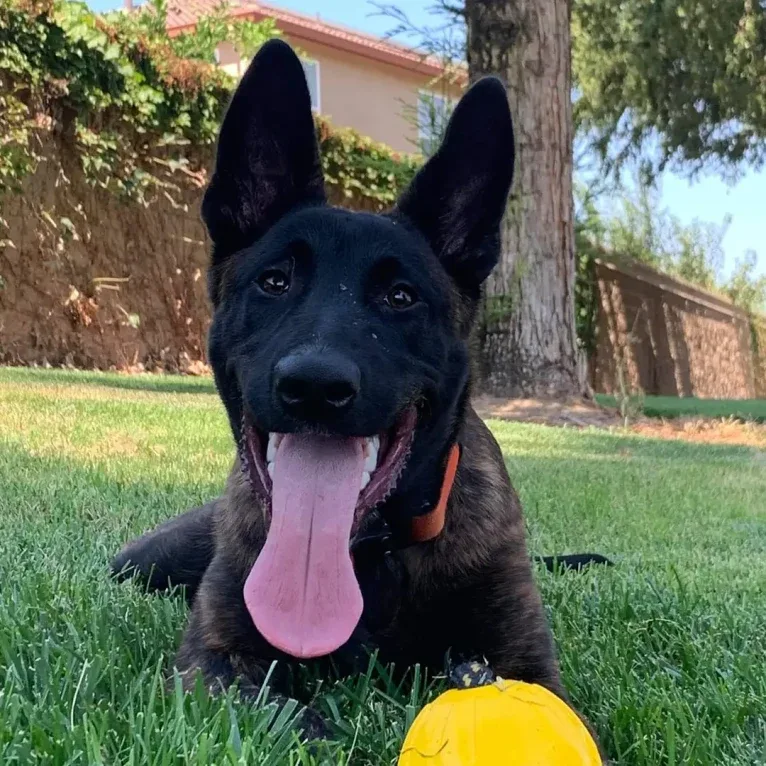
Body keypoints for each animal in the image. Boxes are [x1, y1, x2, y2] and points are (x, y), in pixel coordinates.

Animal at [111, 39, 608, 740]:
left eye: (401, 297)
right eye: (274, 281)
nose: (314, 387)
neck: (367, 555)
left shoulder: (526, 664)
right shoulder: (212, 662)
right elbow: (289, 720)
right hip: (144, 563)